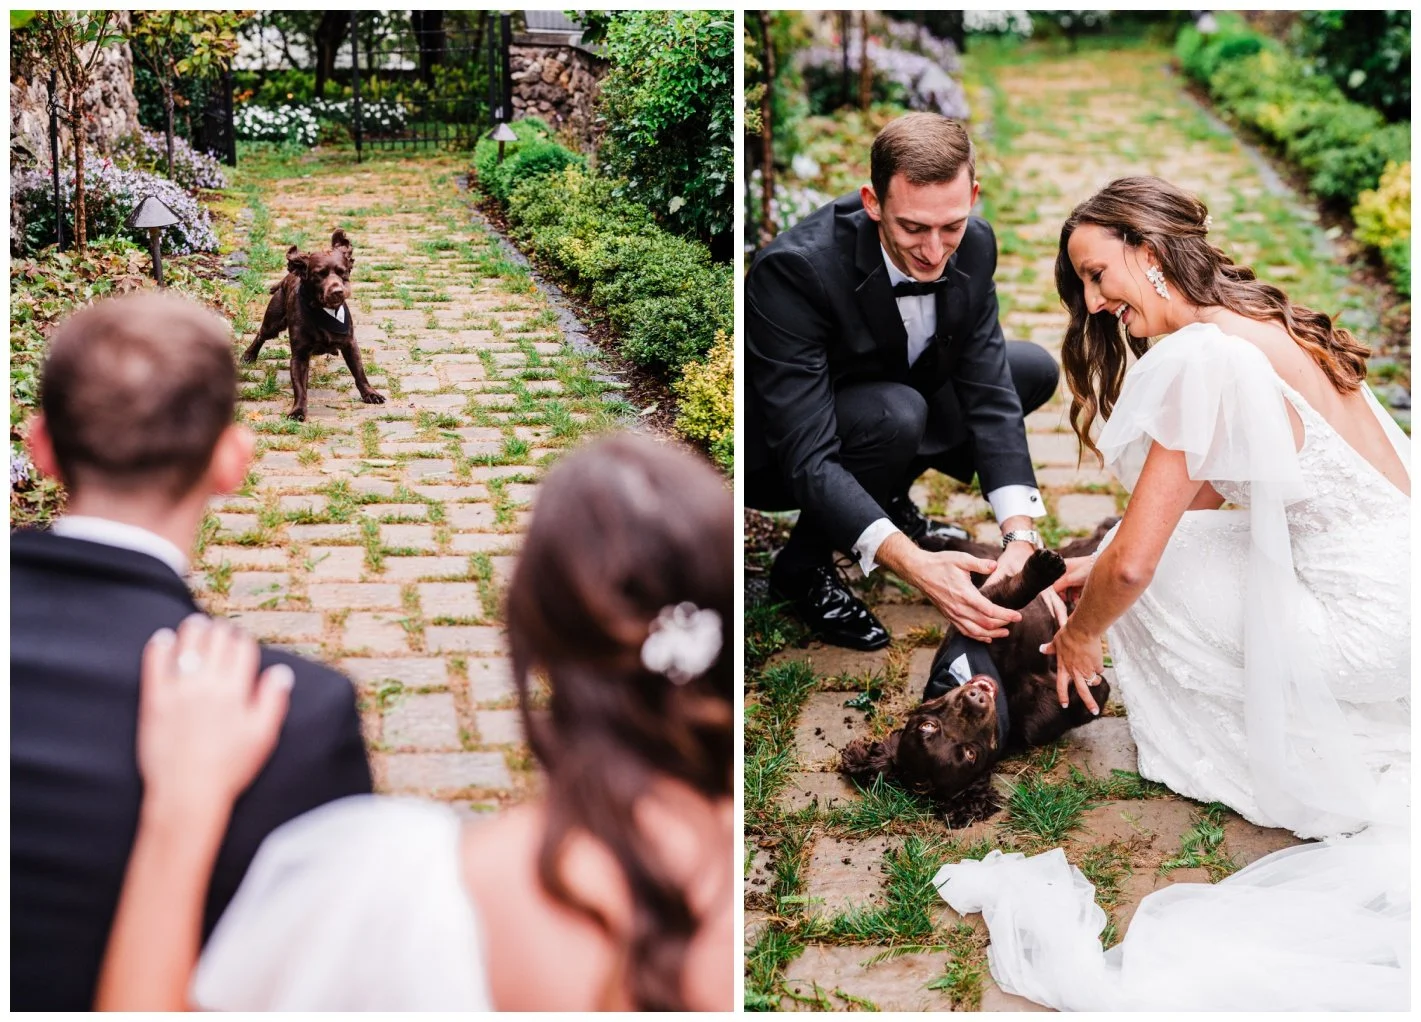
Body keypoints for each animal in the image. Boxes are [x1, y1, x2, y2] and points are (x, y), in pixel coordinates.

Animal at [241, 229, 384, 421]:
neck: (323, 310)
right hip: (273, 322)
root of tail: (288, 275)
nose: (337, 291)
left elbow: (359, 373)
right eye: (319, 274)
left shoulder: (350, 344)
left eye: (343, 272)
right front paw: (298, 410)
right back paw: (249, 355)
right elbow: (300, 387)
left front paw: (370, 393)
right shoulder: (299, 355)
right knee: (260, 335)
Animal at [841, 524, 1117, 801]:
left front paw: (1043, 568)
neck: (1004, 686)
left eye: (928, 726)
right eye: (969, 754)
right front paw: (1091, 683)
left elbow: (1014, 593)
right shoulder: (1039, 721)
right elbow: (1088, 700)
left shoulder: (984, 610)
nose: (975, 699)